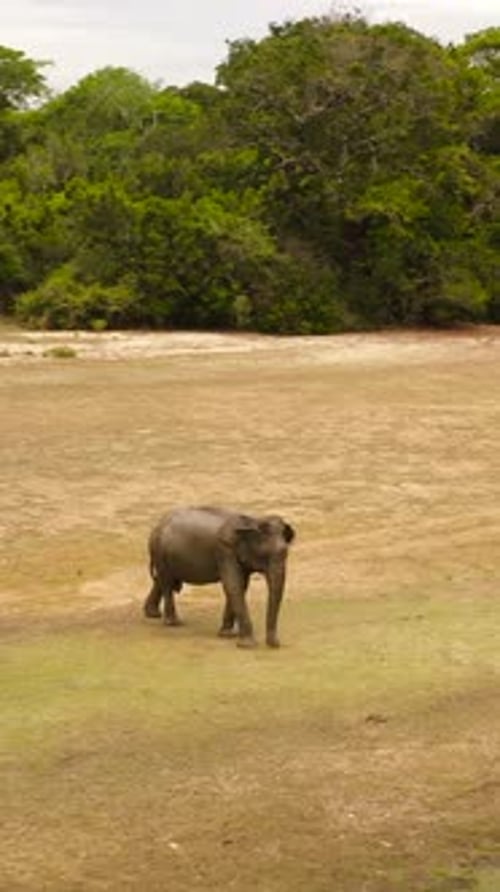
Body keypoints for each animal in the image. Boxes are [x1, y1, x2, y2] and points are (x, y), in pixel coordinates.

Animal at [143, 506, 295, 648]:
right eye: (265, 555)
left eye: (285, 554)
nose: (275, 644)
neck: (252, 520)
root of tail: (158, 524)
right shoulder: (224, 551)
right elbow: (233, 585)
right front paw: (247, 645)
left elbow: (240, 586)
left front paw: (227, 635)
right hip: (159, 551)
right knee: (167, 582)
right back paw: (173, 623)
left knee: (162, 580)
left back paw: (153, 614)